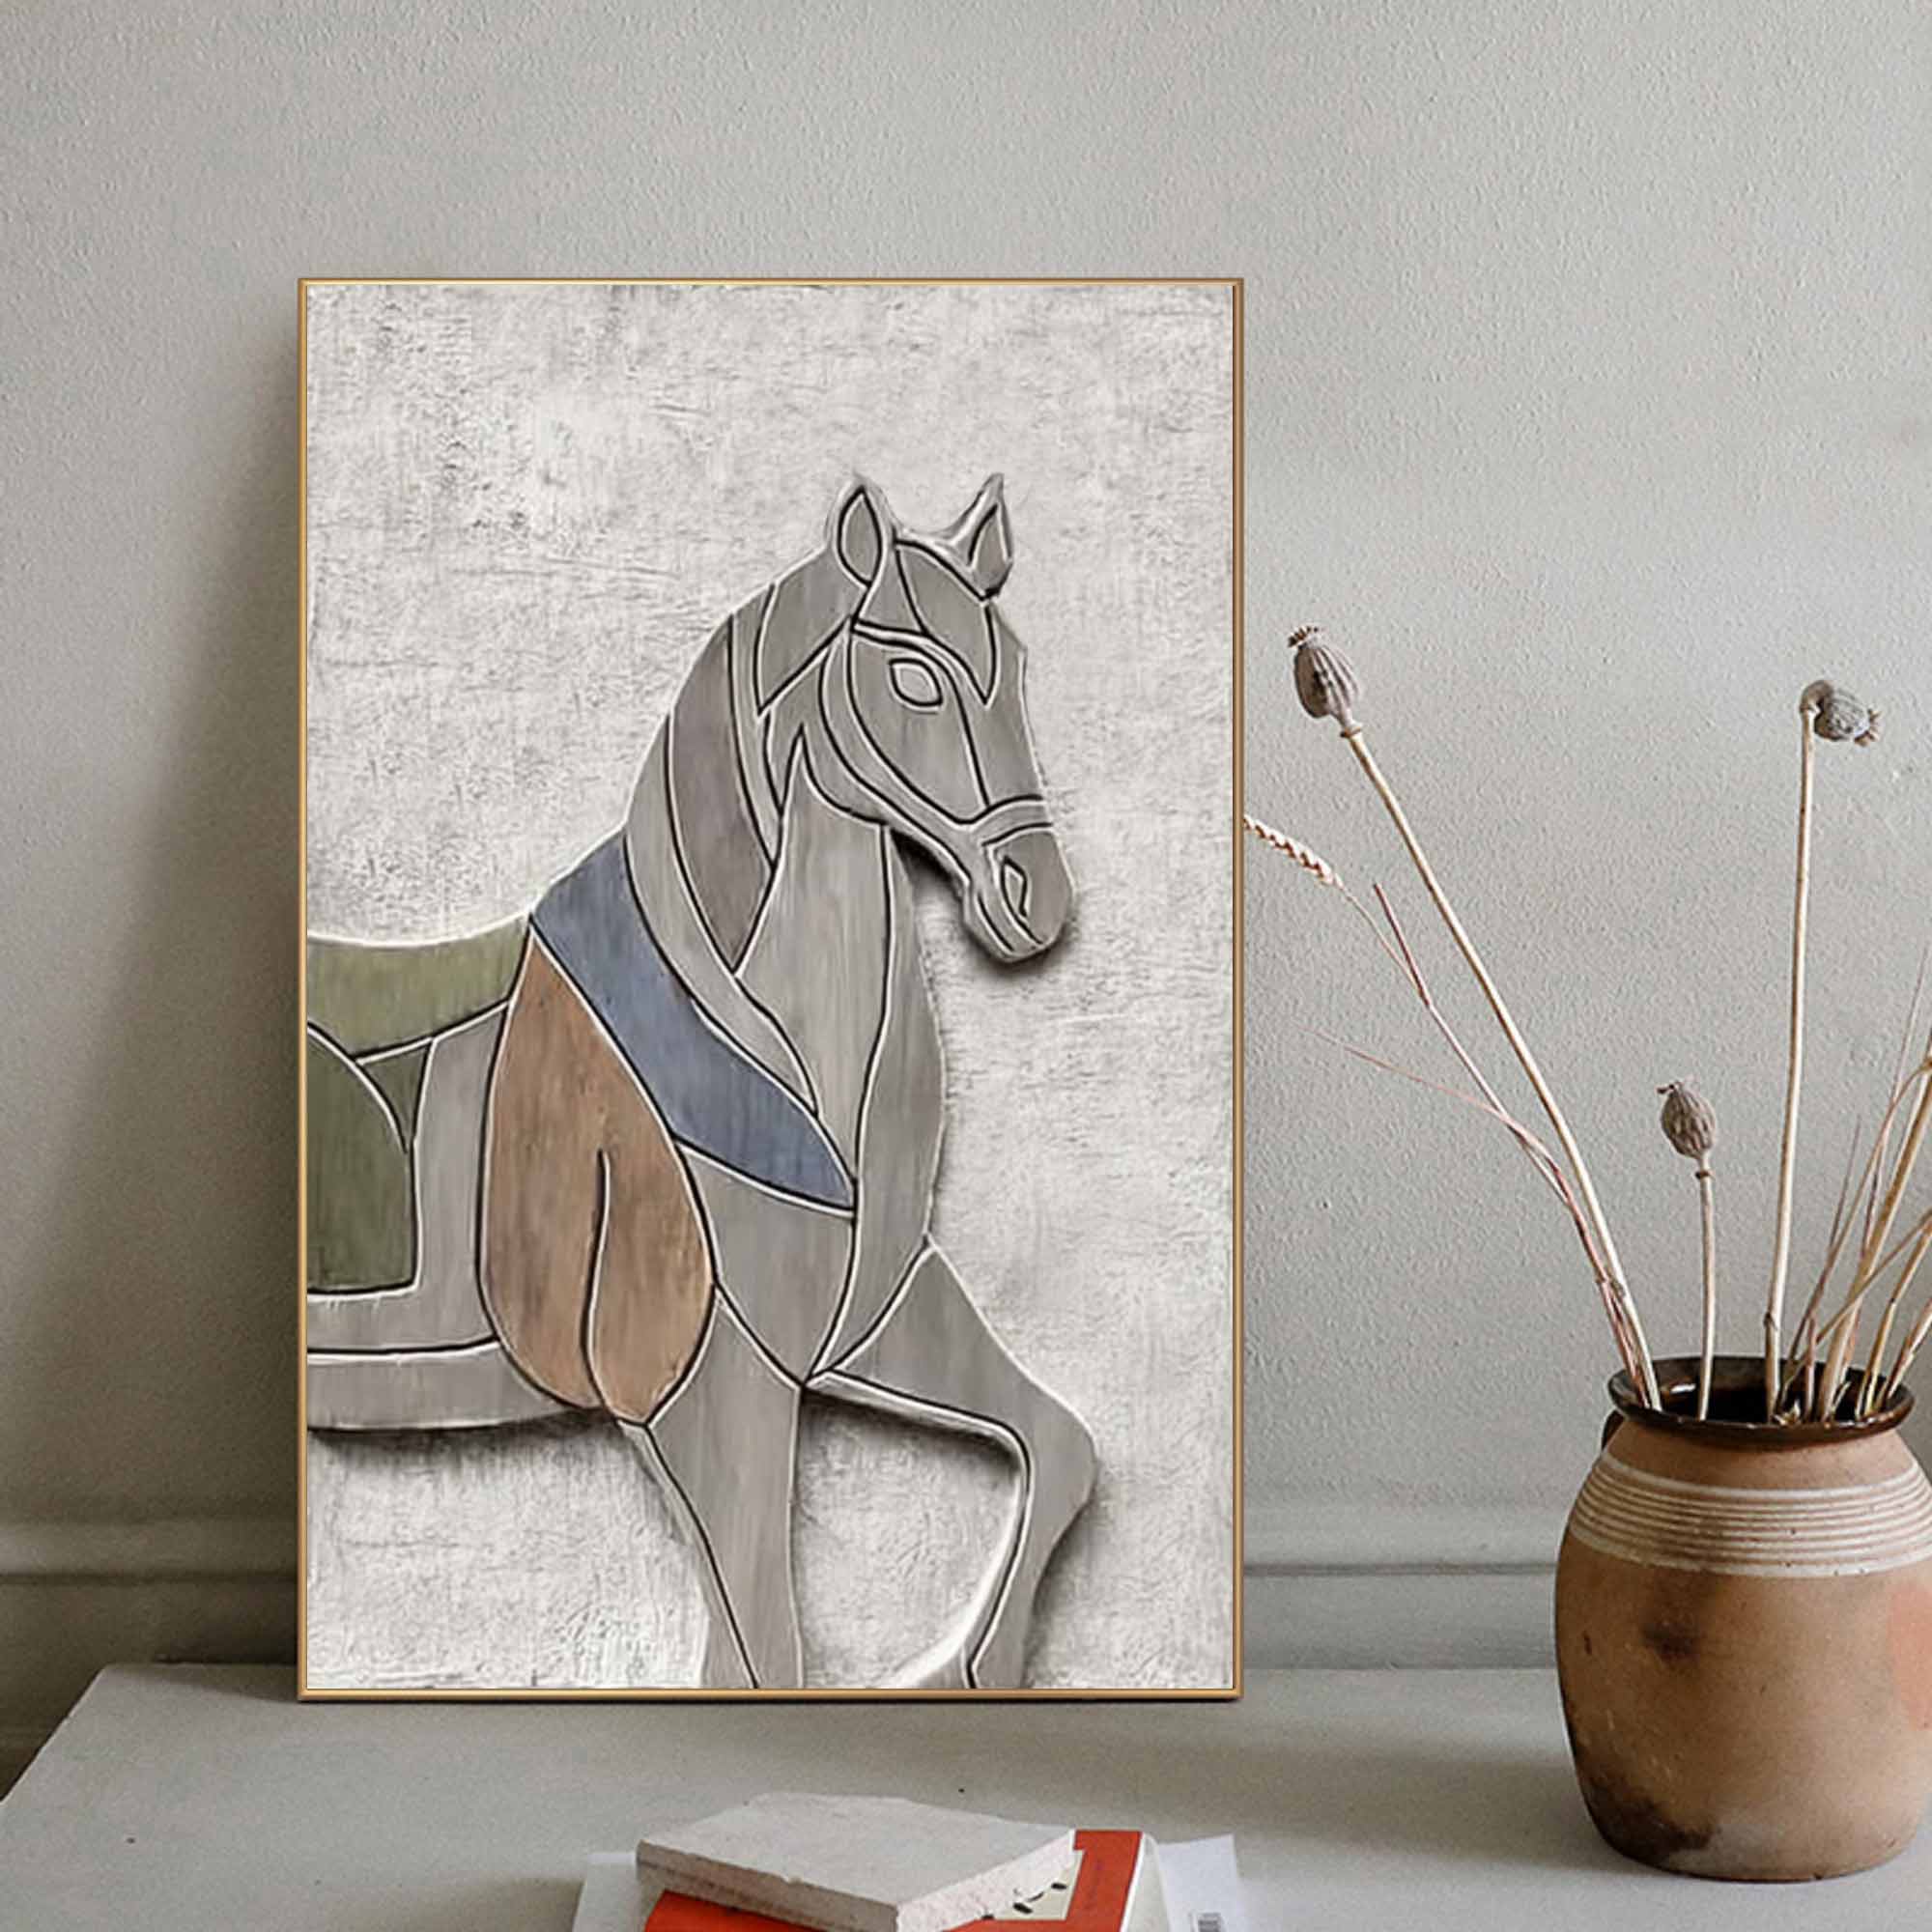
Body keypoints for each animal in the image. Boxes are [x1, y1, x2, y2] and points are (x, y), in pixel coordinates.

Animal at [304, 475, 1097, 1690]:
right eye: (914, 673)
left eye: (1012, 663)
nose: (1032, 898)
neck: (774, 1046)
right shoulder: (699, 1387)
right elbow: (765, 1655)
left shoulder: (873, 1320)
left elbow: (1063, 1443)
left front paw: (966, 1668)